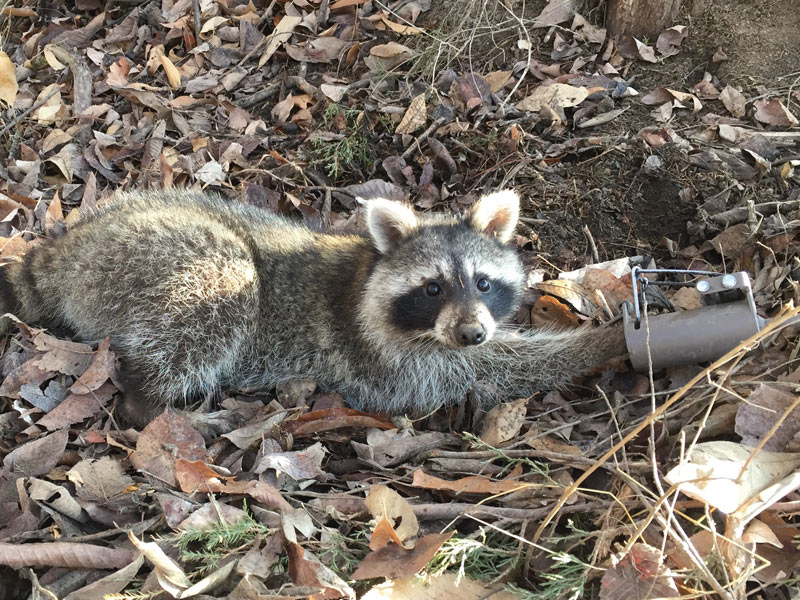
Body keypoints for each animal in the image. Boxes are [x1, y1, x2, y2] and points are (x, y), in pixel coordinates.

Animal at [0, 190, 624, 424]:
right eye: (432, 289)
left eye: (484, 282)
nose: (472, 333)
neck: (367, 269)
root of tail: (71, 247)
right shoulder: (390, 361)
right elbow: (486, 370)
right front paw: (601, 341)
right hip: (159, 260)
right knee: (217, 297)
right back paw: (149, 401)